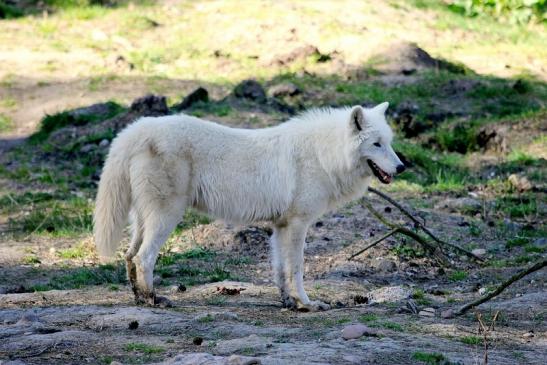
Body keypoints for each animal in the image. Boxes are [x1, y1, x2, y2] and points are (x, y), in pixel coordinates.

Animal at [94, 102, 404, 310]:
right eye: (376, 144)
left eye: (389, 143)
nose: (401, 167)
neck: (323, 154)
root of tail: (137, 129)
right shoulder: (298, 224)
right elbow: (296, 269)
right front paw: (306, 304)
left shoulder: (281, 226)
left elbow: (280, 270)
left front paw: (289, 302)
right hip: (167, 216)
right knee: (144, 257)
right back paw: (153, 299)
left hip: (143, 220)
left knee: (129, 256)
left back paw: (139, 298)